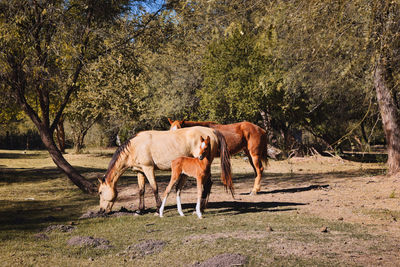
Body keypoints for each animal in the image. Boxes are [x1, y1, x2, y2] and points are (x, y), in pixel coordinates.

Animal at [98, 126, 233, 215]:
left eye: (100, 192)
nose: (101, 211)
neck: (135, 146)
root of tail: (212, 131)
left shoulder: (148, 168)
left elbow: (154, 188)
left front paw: (158, 210)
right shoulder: (140, 171)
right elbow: (141, 190)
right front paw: (140, 210)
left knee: (208, 183)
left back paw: (201, 208)